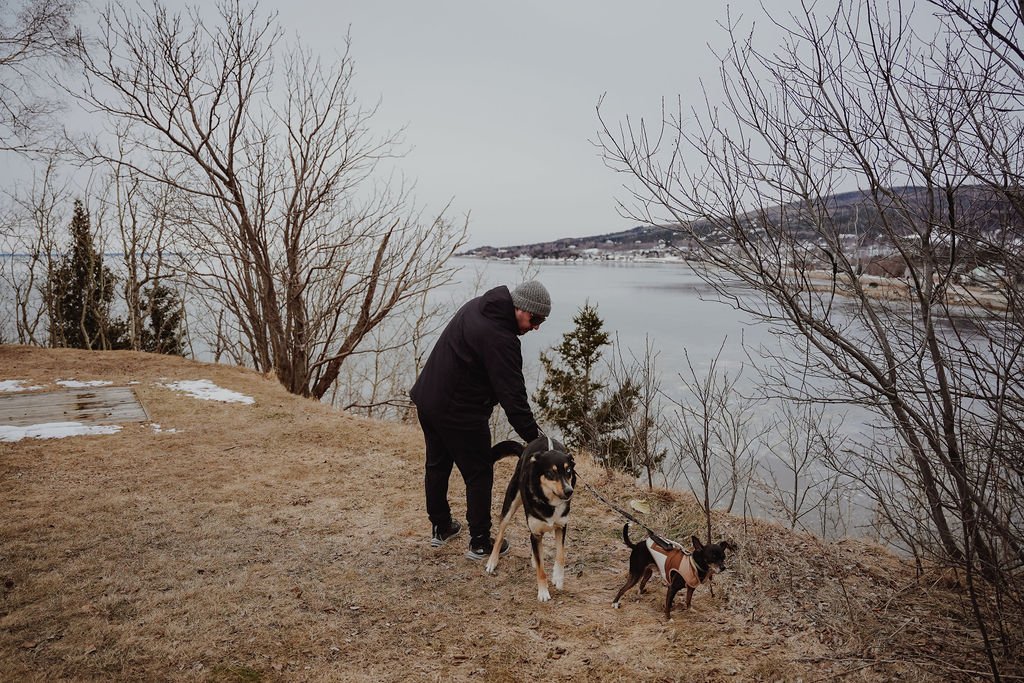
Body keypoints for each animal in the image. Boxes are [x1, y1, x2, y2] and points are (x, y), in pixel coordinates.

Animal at [481, 436, 573, 602]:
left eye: (568, 471)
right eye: (551, 473)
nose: (569, 491)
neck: (550, 502)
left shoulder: (561, 526)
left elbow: (561, 555)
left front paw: (558, 578)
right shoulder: (535, 532)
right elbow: (541, 570)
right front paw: (543, 592)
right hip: (511, 502)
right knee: (500, 534)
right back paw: (492, 561)